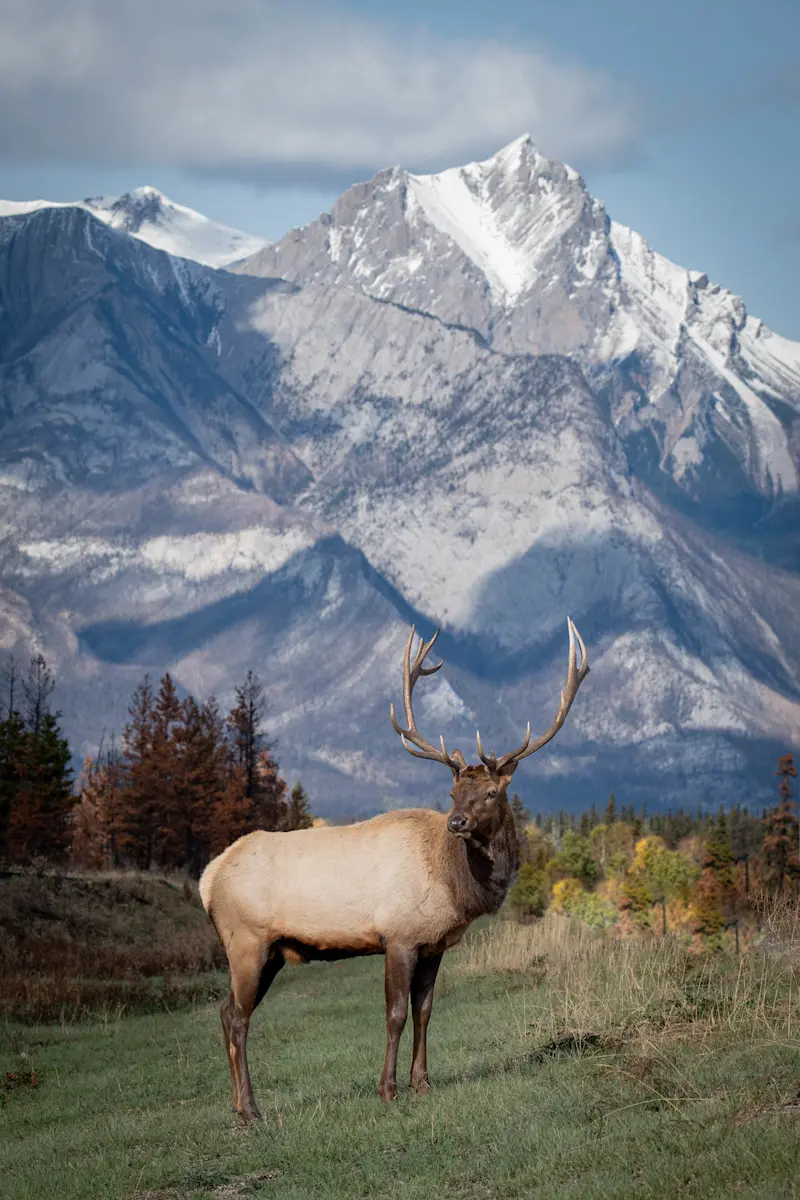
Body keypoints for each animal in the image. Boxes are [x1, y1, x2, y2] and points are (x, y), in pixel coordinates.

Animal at [199, 618, 589, 1121]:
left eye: (491, 794)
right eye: (452, 794)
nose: (457, 822)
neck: (455, 885)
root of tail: (207, 879)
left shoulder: (435, 944)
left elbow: (425, 1010)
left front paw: (422, 1083)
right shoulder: (399, 936)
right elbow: (396, 1013)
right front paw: (387, 1089)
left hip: (268, 953)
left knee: (226, 1011)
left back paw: (238, 1108)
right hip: (246, 942)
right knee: (237, 1015)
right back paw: (250, 1110)